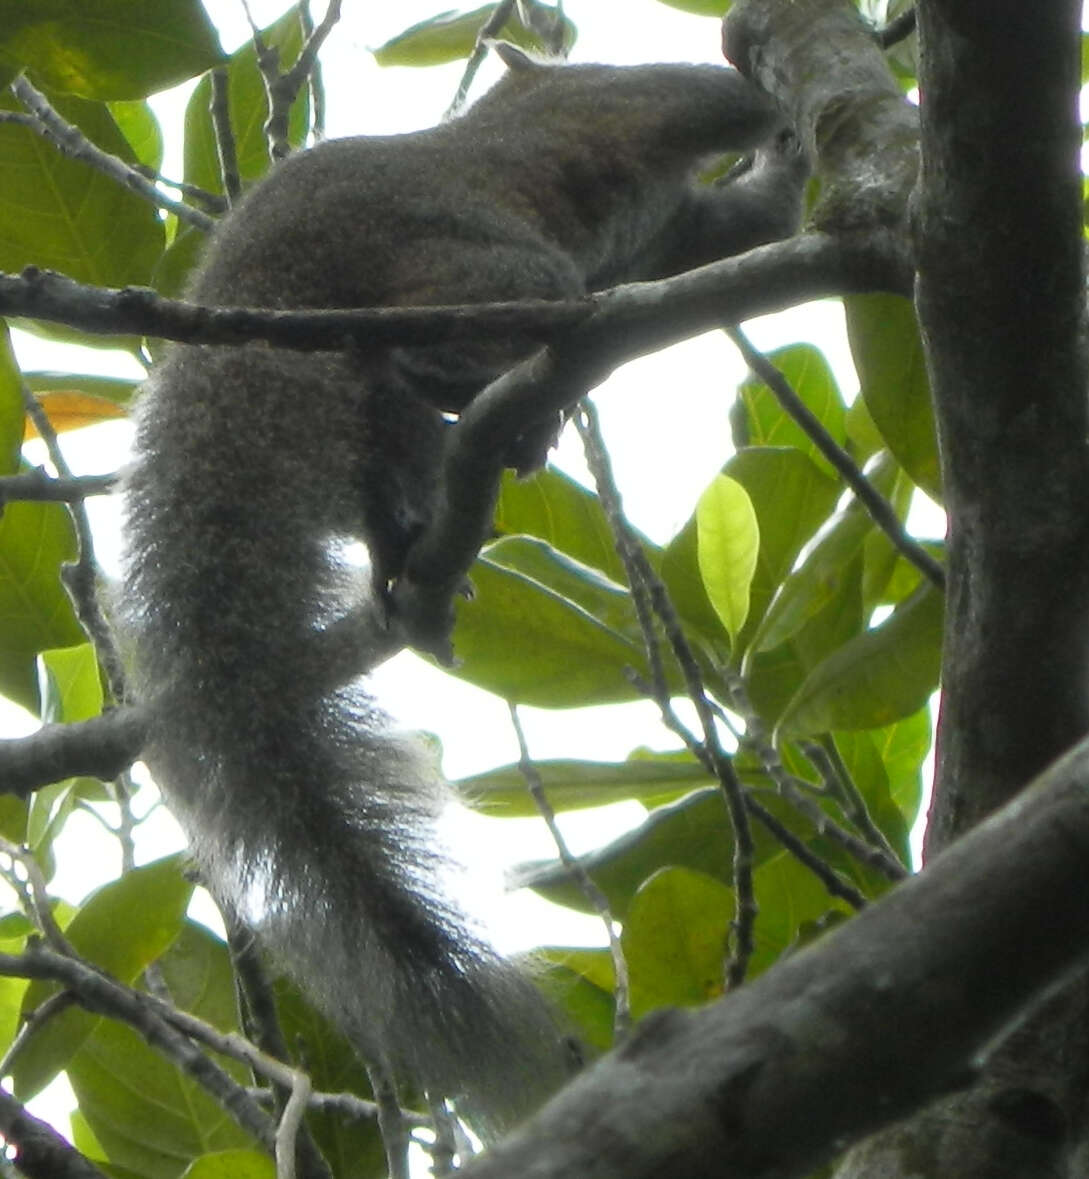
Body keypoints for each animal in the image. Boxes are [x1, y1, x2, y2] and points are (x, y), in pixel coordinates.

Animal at [123, 43, 806, 1131]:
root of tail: (257, 283)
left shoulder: (680, 224)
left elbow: (737, 225)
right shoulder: (624, 104)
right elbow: (703, 96)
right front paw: (780, 104)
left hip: (367, 387)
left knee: (386, 443)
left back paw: (407, 543)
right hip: (480, 262)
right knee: (479, 323)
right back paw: (479, 388)